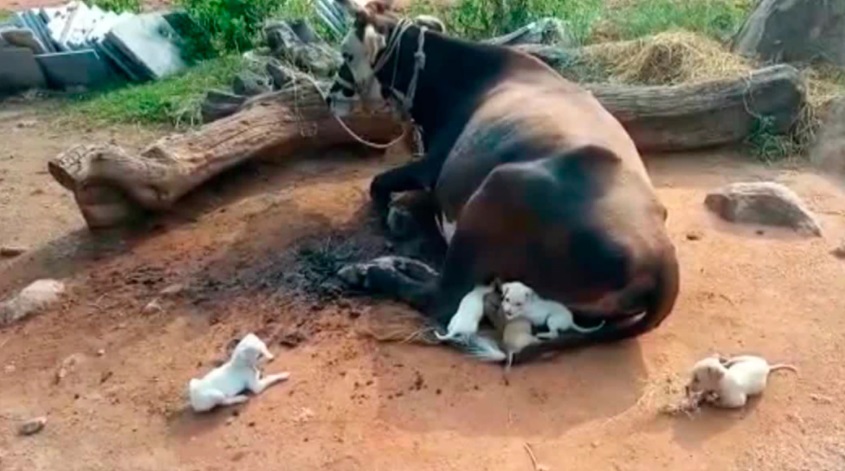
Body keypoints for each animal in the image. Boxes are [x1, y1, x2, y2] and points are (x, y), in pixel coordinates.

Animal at [324, 0, 680, 366]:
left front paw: (393, 217)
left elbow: (379, 183)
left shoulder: (432, 167)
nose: (329, 97)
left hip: (497, 188)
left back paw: (367, 272)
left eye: (346, 54)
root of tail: (663, 258)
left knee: (442, 296)